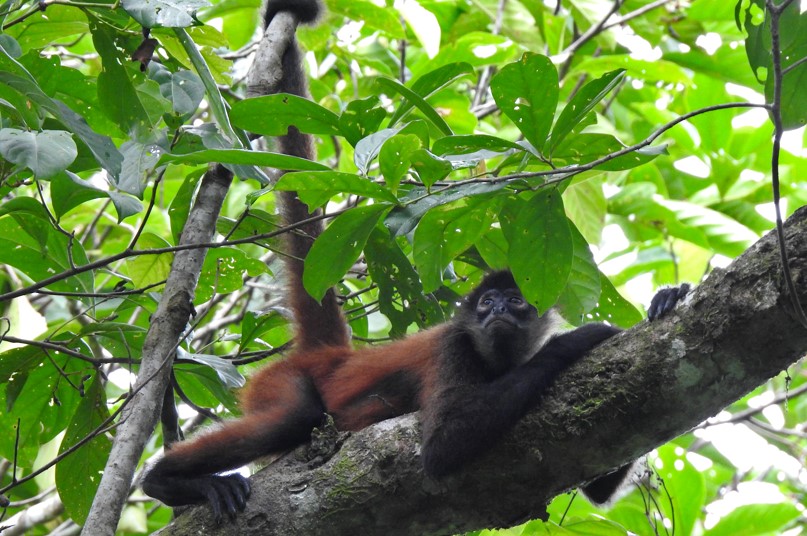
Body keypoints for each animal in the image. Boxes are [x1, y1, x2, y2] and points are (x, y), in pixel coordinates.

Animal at [142, 0, 692, 520]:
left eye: (514, 302)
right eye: (486, 302)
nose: (495, 311)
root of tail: (332, 355)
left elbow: (597, 483)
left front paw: (666, 299)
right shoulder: (455, 346)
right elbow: (443, 447)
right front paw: (582, 339)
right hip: (279, 381)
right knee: (291, 418)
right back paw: (164, 482)